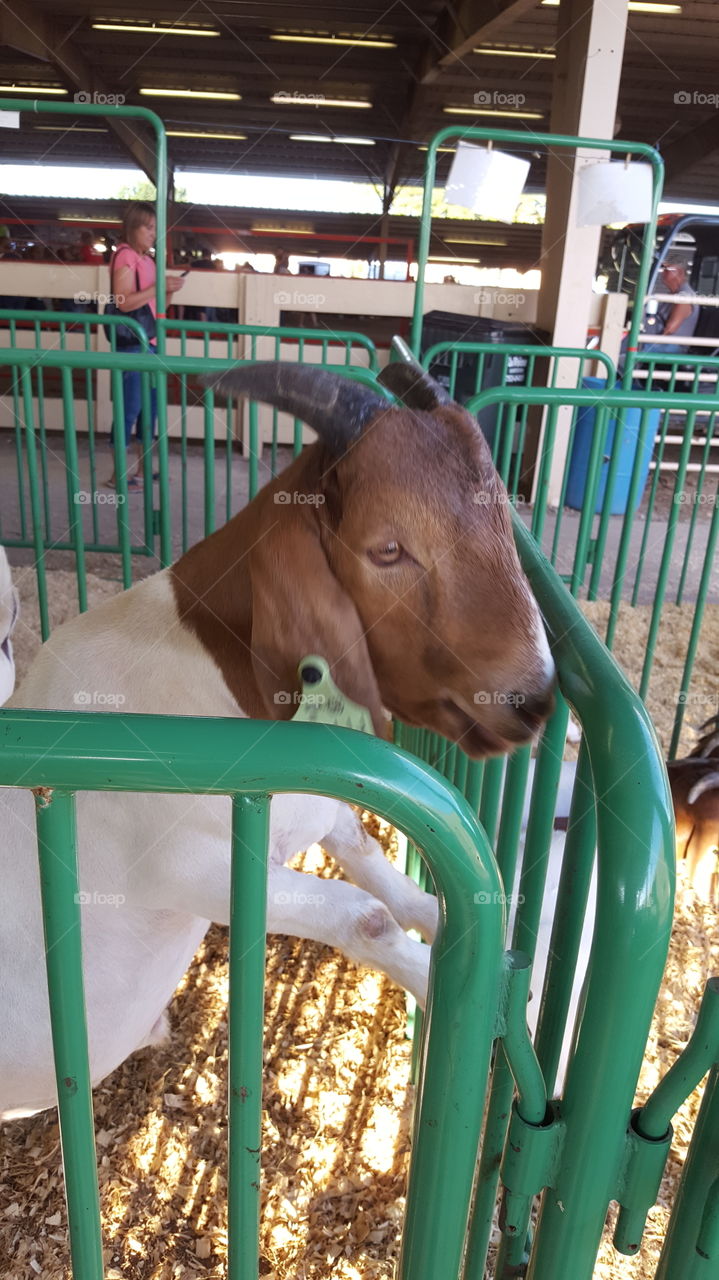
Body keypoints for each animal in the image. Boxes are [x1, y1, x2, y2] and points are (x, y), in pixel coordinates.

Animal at [0, 361, 555, 1119]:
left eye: (505, 514)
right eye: (387, 549)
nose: (534, 698)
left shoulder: (310, 807)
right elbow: (366, 916)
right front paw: (449, 993)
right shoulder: (190, 867)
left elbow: (374, 860)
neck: (215, 672)